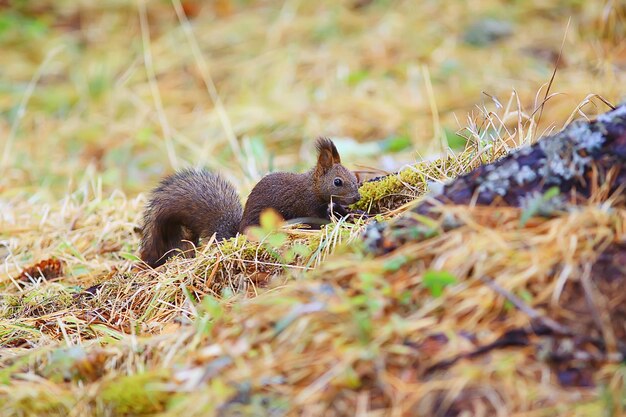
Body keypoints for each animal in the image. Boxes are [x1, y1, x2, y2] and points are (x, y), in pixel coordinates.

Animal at [138, 136, 358, 266]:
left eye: (355, 176)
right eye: (338, 182)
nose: (357, 197)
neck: (313, 187)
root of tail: (237, 234)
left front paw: (349, 214)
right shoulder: (307, 206)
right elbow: (318, 222)